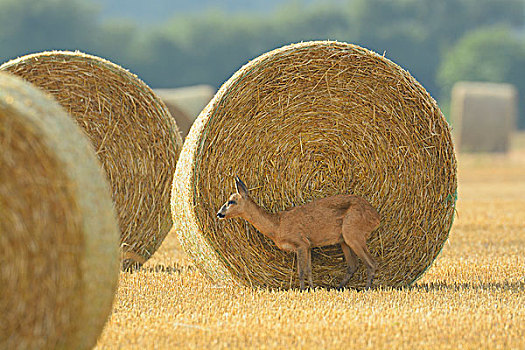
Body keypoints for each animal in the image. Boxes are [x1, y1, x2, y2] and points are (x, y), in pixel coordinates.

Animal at [215, 178, 378, 290]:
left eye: (231, 201)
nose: (219, 214)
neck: (277, 226)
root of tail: (376, 217)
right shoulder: (309, 246)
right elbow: (309, 271)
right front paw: (311, 290)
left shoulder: (301, 243)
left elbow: (301, 271)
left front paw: (302, 291)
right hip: (344, 239)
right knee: (353, 265)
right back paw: (338, 288)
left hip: (354, 233)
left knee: (371, 263)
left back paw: (367, 289)